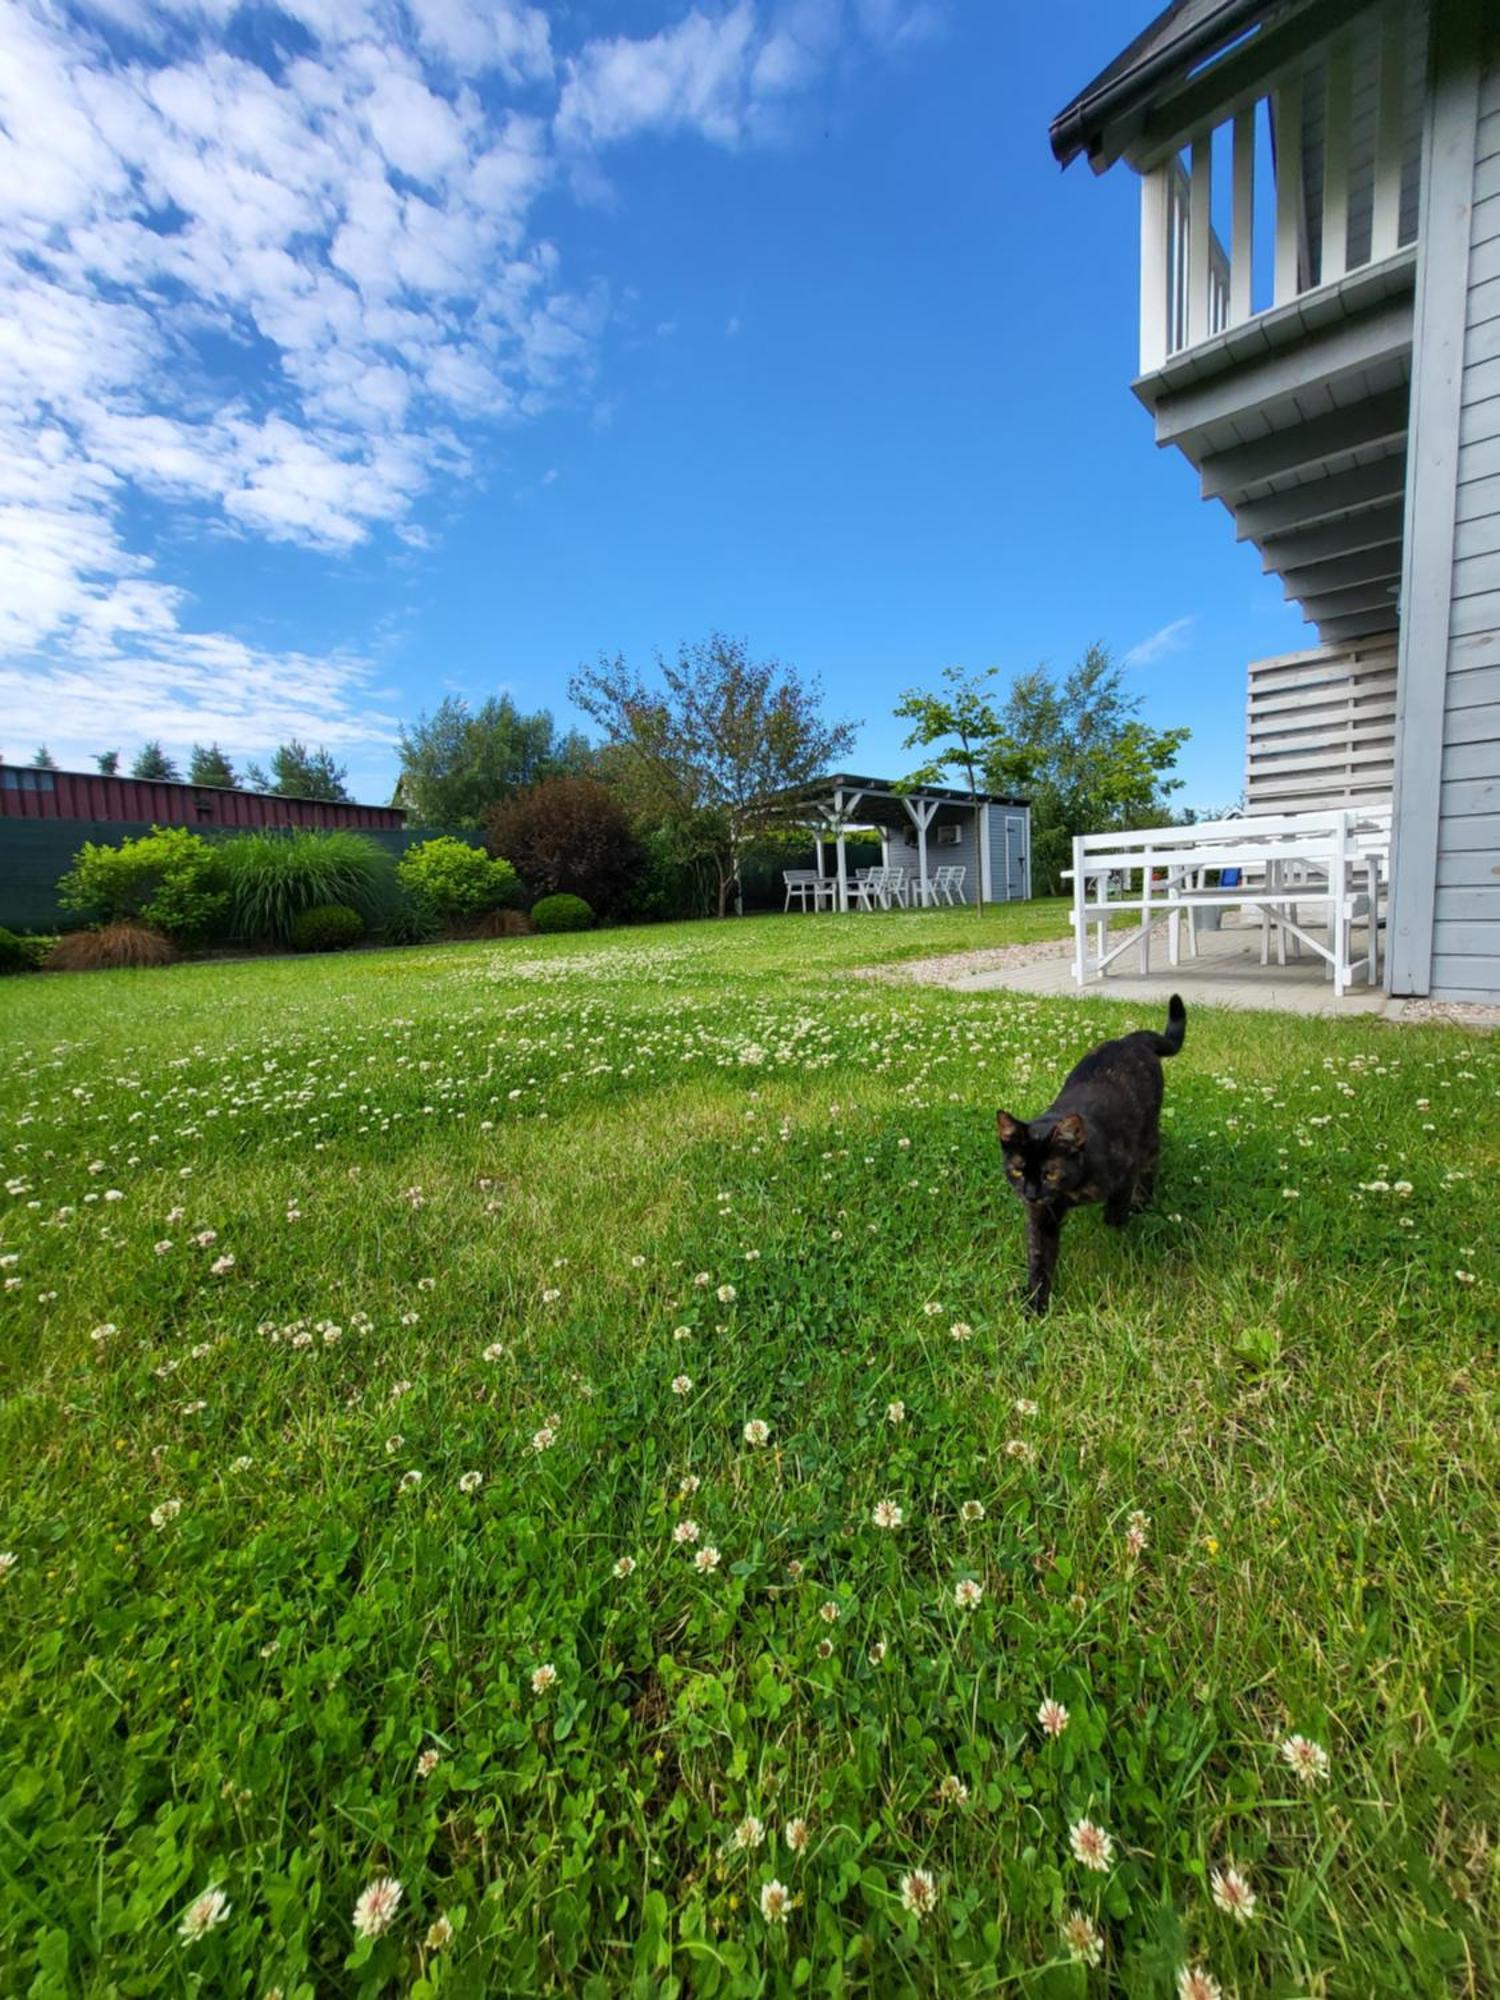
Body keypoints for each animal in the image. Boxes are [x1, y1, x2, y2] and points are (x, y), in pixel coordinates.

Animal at [1000, 996, 1184, 1312]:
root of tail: (1131, 1039)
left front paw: (1114, 1232)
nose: (1030, 1194)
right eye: (1018, 1170)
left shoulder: (1125, 1171)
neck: (1073, 1190)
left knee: (1150, 1170)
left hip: (1148, 1139)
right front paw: (1035, 1304)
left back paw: (1143, 1204)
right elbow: (1040, 1259)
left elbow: (1115, 1212)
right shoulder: (1042, 1216)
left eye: (1050, 1173)